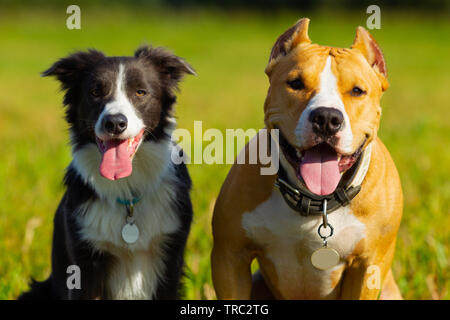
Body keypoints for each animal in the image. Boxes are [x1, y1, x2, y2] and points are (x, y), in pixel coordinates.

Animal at [19, 45, 195, 300]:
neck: (127, 190)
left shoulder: (170, 257)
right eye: (95, 92)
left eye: (140, 92)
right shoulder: (84, 262)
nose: (115, 123)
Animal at [211, 18, 404, 298]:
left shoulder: (368, 267)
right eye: (296, 83)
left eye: (357, 90)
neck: (316, 202)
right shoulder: (229, 256)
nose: (327, 118)